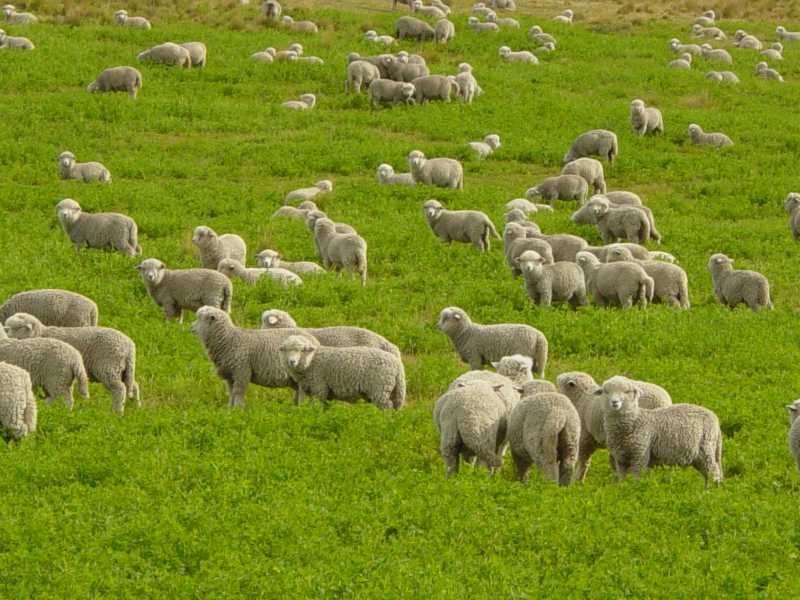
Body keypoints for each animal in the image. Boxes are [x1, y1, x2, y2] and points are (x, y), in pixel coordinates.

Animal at [5, 313, 139, 415]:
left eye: (15, 328)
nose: (5, 335)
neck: (40, 333)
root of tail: (129, 346)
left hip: (108, 367)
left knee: (119, 389)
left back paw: (116, 411)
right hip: (124, 370)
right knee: (133, 386)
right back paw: (135, 406)